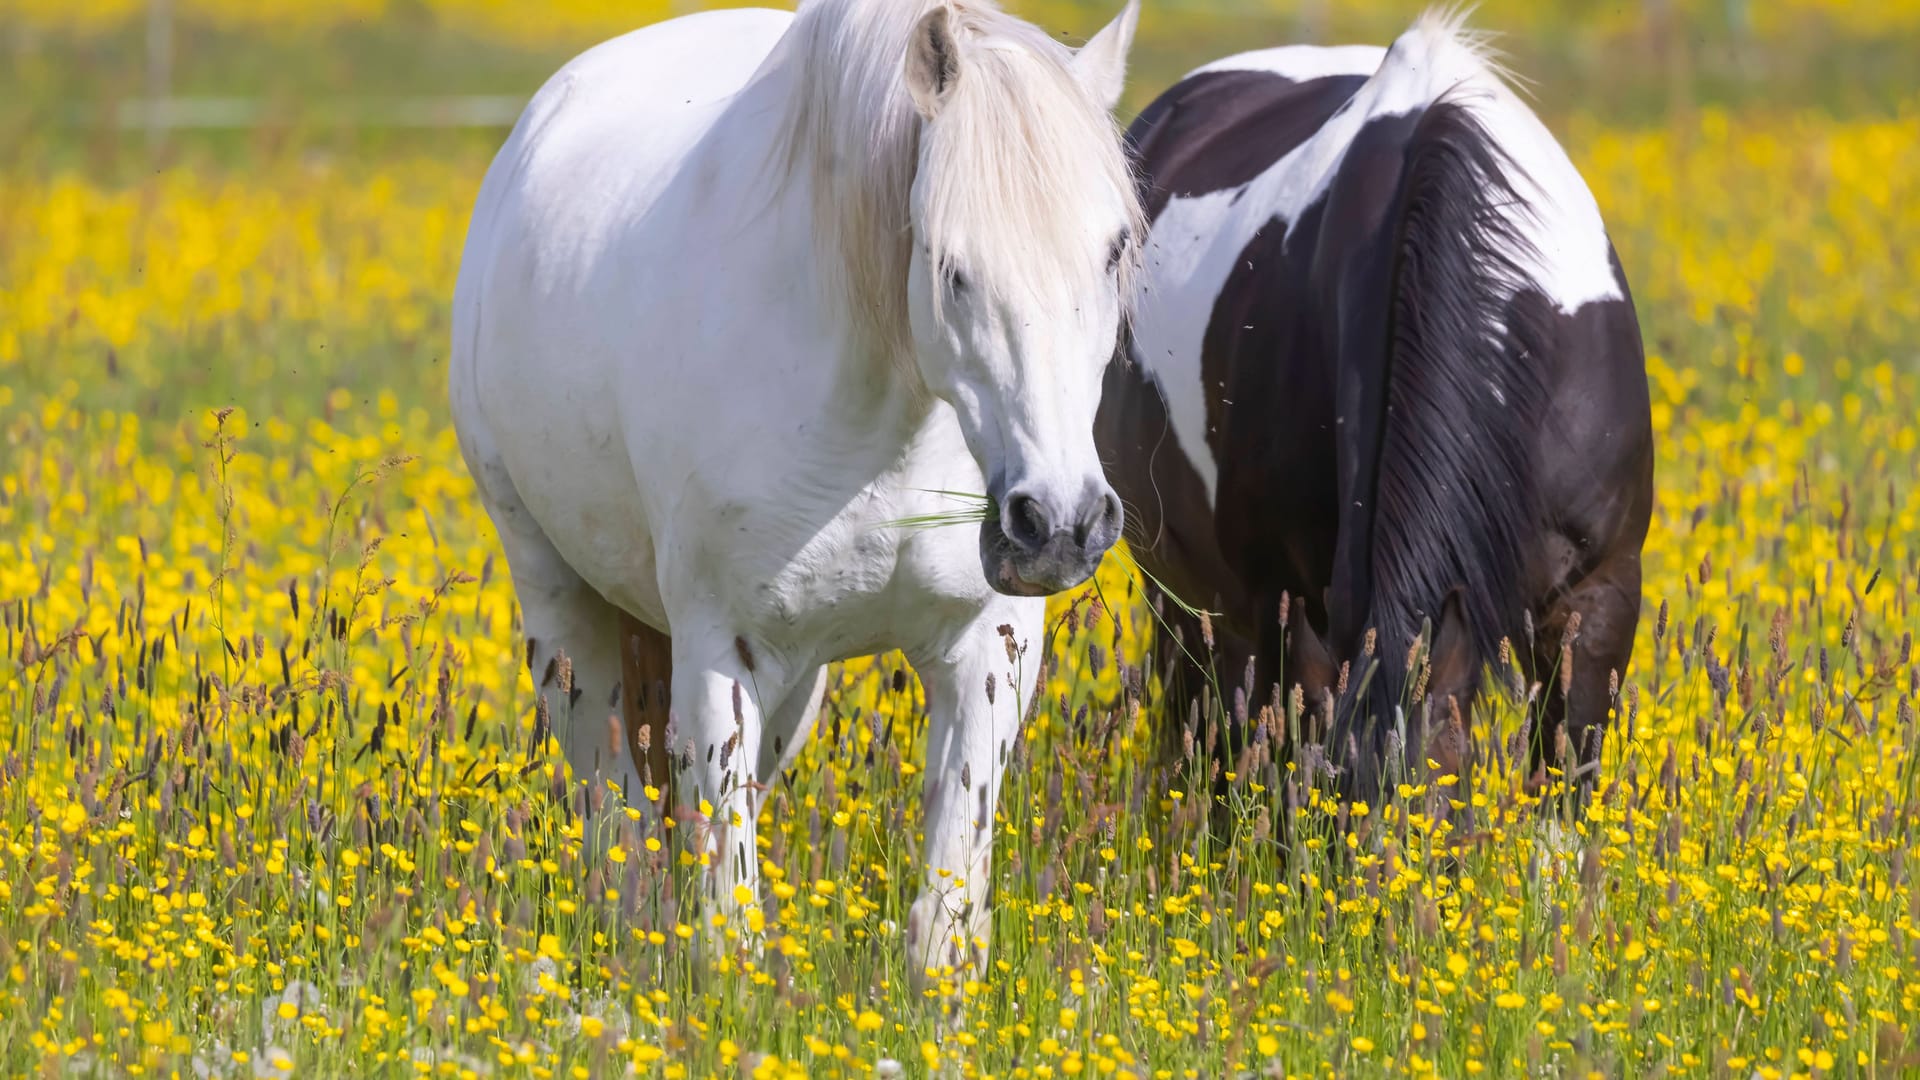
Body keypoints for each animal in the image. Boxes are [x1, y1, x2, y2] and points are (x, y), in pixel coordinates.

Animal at [449, 0, 1136, 980]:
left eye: (1115, 250)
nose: (1061, 523)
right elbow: (726, 919)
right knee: (618, 819)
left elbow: (942, 920)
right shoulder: (717, 656)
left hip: (795, 689)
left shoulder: (987, 653)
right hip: (562, 616)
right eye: (950, 266)